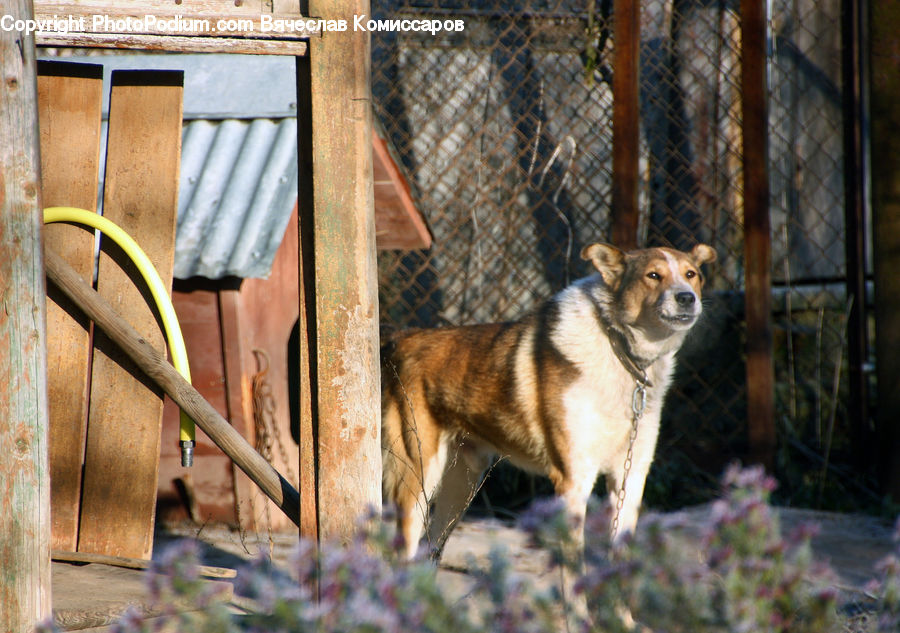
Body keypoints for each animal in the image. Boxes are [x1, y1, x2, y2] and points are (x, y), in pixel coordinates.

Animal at [380, 238, 716, 556]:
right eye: (653, 275)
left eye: (691, 274)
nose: (687, 298)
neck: (617, 347)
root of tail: (399, 341)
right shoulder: (573, 480)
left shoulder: (629, 476)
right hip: (417, 482)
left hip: (462, 484)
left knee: (431, 552)